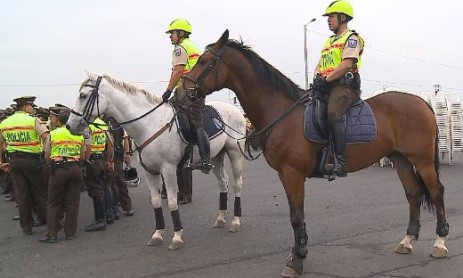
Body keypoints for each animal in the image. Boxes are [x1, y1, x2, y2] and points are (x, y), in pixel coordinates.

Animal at [67, 72, 246, 250]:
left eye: (82, 96)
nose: (69, 125)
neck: (148, 125)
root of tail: (233, 110)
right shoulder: (149, 171)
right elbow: (155, 202)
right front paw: (157, 234)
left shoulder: (168, 170)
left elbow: (172, 202)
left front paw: (177, 237)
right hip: (216, 156)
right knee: (223, 183)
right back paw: (221, 218)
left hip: (235, 152)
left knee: (237, 184)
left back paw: (236, 221)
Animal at [180, 30, 450, 276]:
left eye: (204, 61)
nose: (181, 93)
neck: (282, 113)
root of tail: (422, 103)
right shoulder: (285, 175)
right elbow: (294, 214)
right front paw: (296, 253)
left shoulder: (293, 173)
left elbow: (297, 216)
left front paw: (297, 260)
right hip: (400, 158)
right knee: (413, 193)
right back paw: (408, 240)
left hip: (422, 160)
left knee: (436, 192)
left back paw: (440, 242)